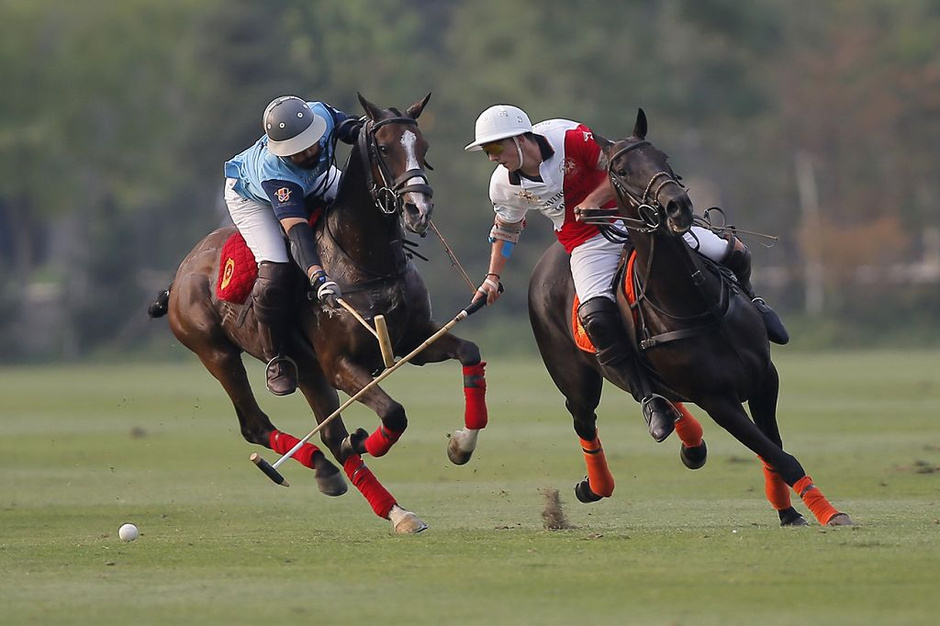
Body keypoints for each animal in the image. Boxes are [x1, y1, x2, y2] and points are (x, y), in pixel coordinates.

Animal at [148, 94, 488, 532]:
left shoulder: (414, 339)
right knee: (257, 424)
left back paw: (371, 495)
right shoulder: (339, 363)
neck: (367, 263)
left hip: (308, 370)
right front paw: (365, 439)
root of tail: (181, 273)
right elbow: (394, 414)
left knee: (325, 434)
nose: (418, 208)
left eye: (424, 147)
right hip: (217, 353)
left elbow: (469, 352)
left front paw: (461, 445)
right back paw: (328, 464)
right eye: (383, 148)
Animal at [528, 109, 852, 524]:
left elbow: (772, 448)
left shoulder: (765, 378)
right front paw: (828, 513)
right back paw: (596, 484)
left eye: (662, 156)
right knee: (585, 413)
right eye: (621, 169)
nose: (676, 205)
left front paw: (790, 512)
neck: (697, 305)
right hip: (576, 376)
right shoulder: (717, 399)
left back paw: (686, 438)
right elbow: (779, 455)